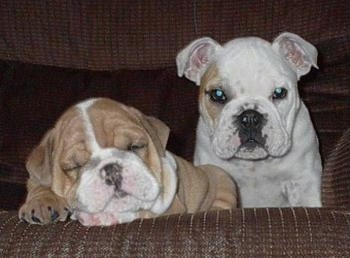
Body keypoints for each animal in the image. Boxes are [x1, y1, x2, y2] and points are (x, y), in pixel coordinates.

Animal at [19, 98, 238, 225]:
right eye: (75, 166)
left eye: (135, 147)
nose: (111, 168)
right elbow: (39, 184)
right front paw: (42, 202)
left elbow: (139, 212)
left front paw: (101, 216)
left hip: (222, 179)